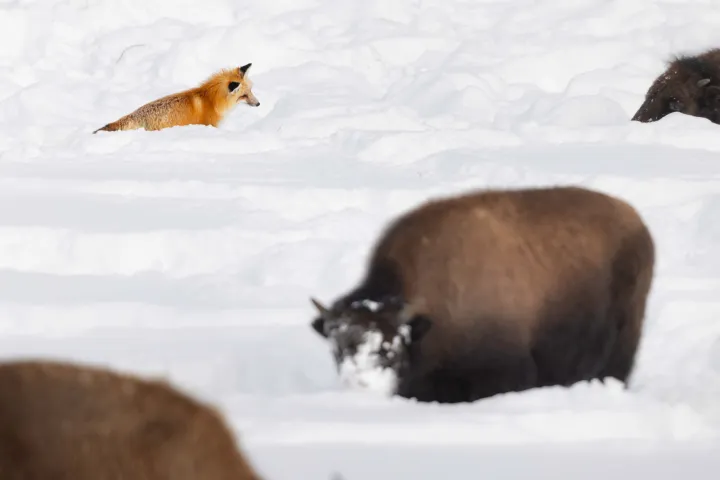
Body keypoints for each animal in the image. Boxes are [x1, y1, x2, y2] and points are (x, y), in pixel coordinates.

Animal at [93, 63, 260, 133]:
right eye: (244, 95)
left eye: (251, 91)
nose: (258, 104)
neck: (211, 100)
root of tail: (134, 115)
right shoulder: (209, 125)